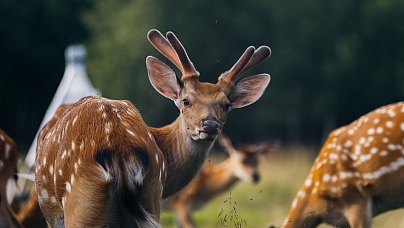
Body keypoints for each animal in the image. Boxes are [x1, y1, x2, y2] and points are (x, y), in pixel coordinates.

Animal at [34, 29, 272, 227]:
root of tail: (119, 148)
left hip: (81, 201)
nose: (210, 124)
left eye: (226, 105)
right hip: (149, 195)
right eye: (186, 101)